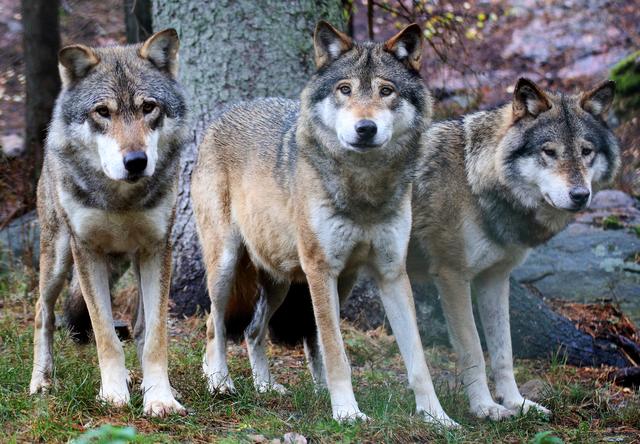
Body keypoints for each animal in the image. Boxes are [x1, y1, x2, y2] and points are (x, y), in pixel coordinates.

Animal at [29, 29, 189, 417]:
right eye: (103, 112)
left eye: (148, 108)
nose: (136, 161)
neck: (121, 199)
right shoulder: (87, 252)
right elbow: (105, 335)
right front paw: (113, 394)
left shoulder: (157, 249)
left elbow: (155, 336)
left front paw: (160, 398)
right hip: (58, 258)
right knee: (43, 311)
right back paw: (41, 381)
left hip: (130, 262)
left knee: (140, 327)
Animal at [191, 21, 456, 425]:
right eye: (344, 89)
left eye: (386, 91)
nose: (365, 128)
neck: (364, 189)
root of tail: (224, 114)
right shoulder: (320, 270)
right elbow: (335, 352)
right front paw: (346, 411)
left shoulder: (391, 273)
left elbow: (417, 359)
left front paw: (437, 417)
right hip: (226, 267)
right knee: (214, 325)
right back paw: (220, 383)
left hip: (296, 282)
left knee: (254, 331)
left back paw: (269, 387)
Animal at [407, 78, 620, 420]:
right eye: (549, 152)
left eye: (586, 151)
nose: (580, 195)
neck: (473, 181)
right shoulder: (452, 277)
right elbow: (473, 350)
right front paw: (485, 408)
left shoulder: (495, 278)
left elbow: (503, 353)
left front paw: (517, 403)